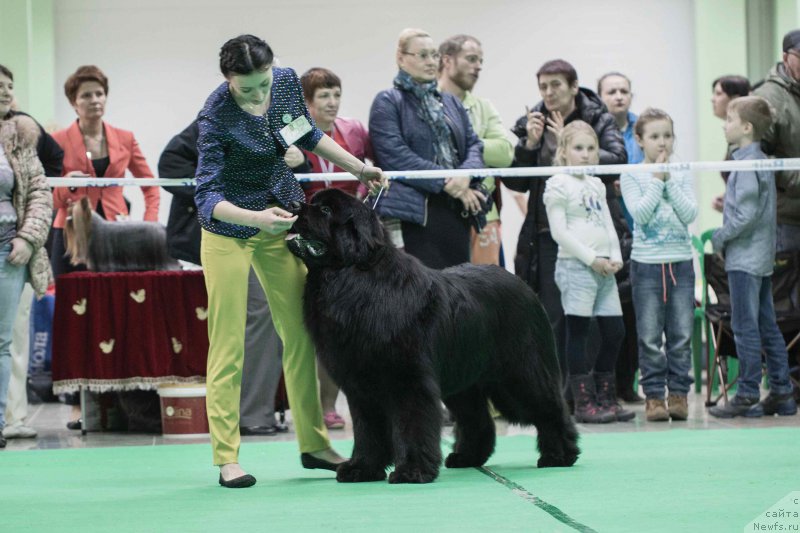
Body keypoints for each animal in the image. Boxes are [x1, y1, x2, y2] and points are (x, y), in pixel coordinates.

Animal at [290, 189, 580, 484]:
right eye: (312, 202)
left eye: (325, 210)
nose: (294, 205)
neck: (353, 278)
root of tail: (526, 287)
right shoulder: (360, 385)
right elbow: (367, 430)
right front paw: (361, 468)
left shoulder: (408, 378)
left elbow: (412, 424)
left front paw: (412, 470)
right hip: (464, 378)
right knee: (477, 419)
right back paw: (467, 457)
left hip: (517, 374)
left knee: (549, 408)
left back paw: (559, 455)